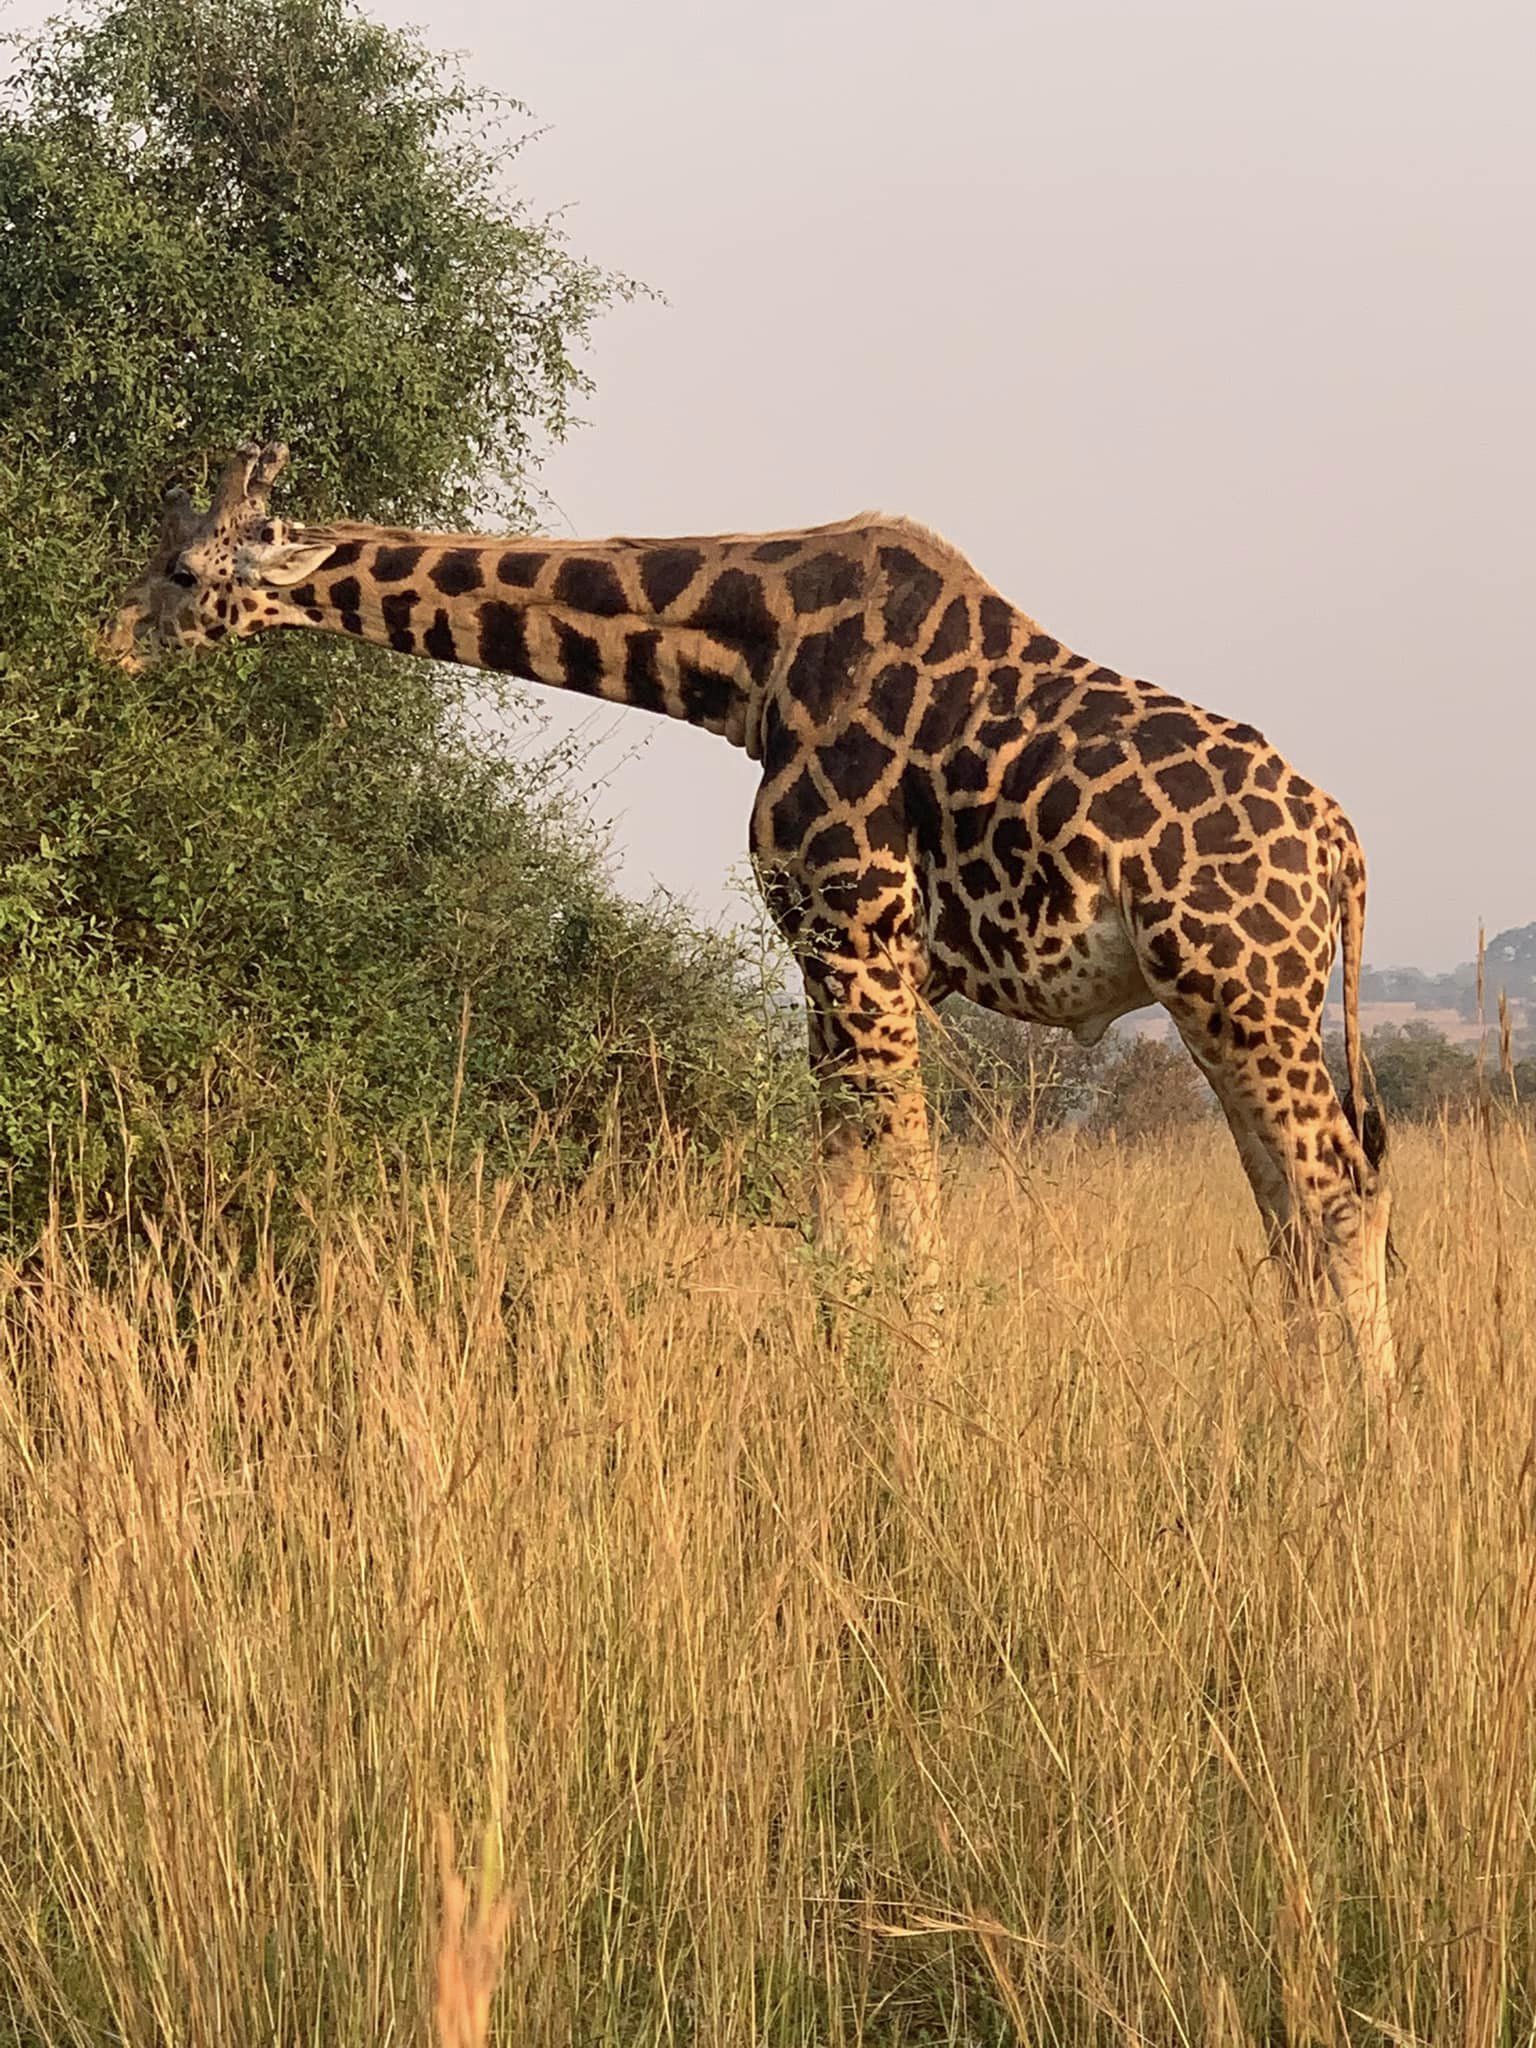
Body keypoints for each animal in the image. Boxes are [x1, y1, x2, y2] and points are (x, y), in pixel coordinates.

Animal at [108, 440, 1400, 1384]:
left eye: (180, 571)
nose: (109, 640)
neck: (747, 662)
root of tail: (1344, 849)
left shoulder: (857, 931)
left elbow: (905, 1186)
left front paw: (924, 1399)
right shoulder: (838, 958)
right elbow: (841, 1195)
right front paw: (849, 1382)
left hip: (1242, 991)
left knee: (1338, 1187)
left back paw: (1364, 1436)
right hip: (1222, 1006)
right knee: (1293, 1200)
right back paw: (1299, 1405)